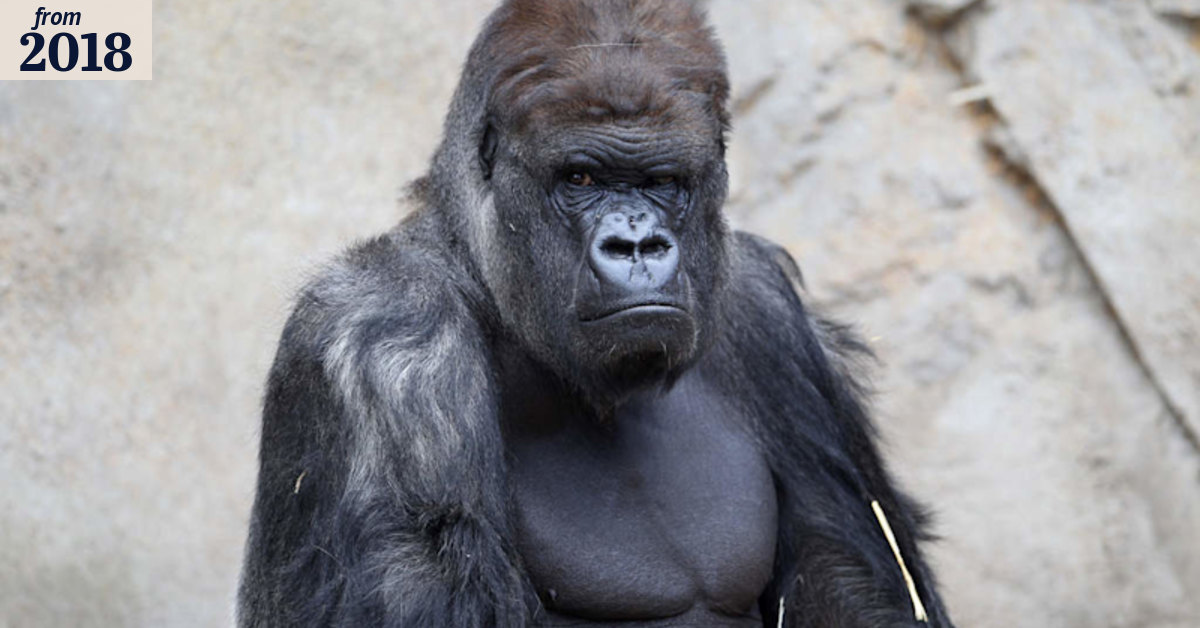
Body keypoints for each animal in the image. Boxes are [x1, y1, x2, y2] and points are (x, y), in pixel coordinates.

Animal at [238, 1, 955, 626]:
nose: (636, 245)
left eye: (662, 181)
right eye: (580, 178)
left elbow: (862, 585)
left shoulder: (770, 314)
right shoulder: (386, 342)